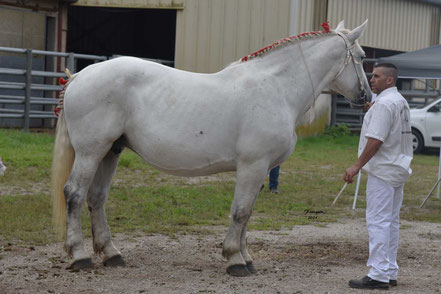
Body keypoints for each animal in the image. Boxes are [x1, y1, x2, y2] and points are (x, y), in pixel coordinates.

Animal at [51, 20, 372, 276]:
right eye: (361, 57)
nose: (366, 97)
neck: (276, 89)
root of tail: (80, 76)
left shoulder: (259, 170)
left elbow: (247, 213)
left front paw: (246, 258)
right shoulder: (253, 166)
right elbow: (240, 212)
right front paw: (235, 260)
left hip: (111, 151)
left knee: (97, 198)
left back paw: (112, 254)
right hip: (91, 152)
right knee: (75, 194)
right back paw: (80, 256)